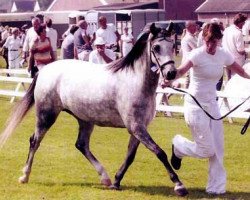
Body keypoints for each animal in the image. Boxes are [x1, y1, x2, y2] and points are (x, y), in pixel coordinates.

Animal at [0, 23, 188, 197]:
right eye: (156, 47)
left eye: (172, 45)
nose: (171, 73)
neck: (135, 81)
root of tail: (45, 70)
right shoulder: (136, 127)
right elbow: (159, 152)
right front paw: (179, 185)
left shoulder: (139, 128)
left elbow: (130, 156)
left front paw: (116, 181)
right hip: (46, 115)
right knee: (35, 141)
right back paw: (25, 176)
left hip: (85, 119)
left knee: (81, 145)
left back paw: (105, 178)